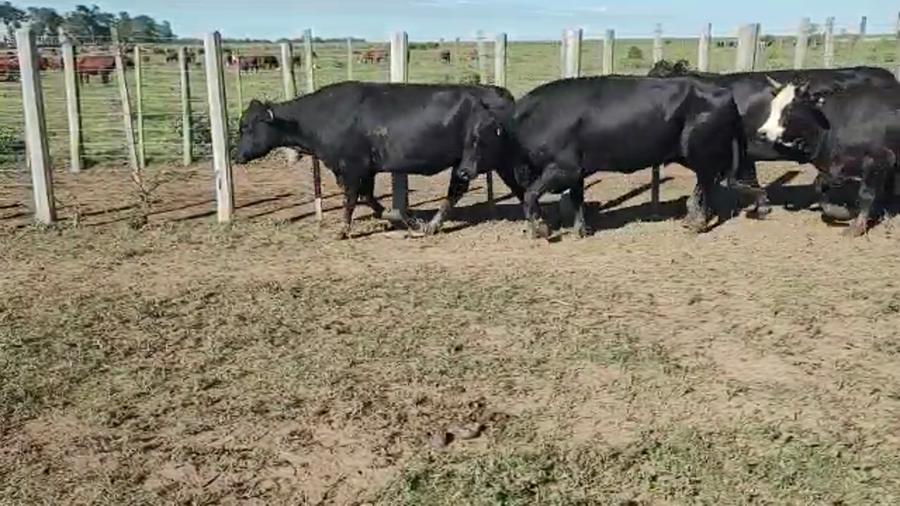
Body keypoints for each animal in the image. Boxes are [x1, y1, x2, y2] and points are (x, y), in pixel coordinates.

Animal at [233, 81, 523, 239]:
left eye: (247, 127)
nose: (235, 155)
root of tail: (497, 92)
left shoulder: (352, 167)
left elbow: (351, 199)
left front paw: (343, 230)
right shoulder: (365, 169)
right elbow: (369, 198)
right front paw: (404, 218)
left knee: (462, 190)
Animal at [506, 75, 765, 240]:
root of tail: (725, 93)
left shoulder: (563, 167)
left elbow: (530, 195)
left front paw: (539, 229)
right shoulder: (576, 171)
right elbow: (577, 199)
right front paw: (581, 231)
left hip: (700, 151)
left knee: (707, 182)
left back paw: (696, 223)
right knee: (708, 183)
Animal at [756, 78, 900, 237]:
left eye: (790, 108)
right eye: (773, 106)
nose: (762, 133)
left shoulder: (878, 159)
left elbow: (866, 194)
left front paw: (857, 227)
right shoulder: (836, 167)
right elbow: (820, 187)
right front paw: (846, 212)